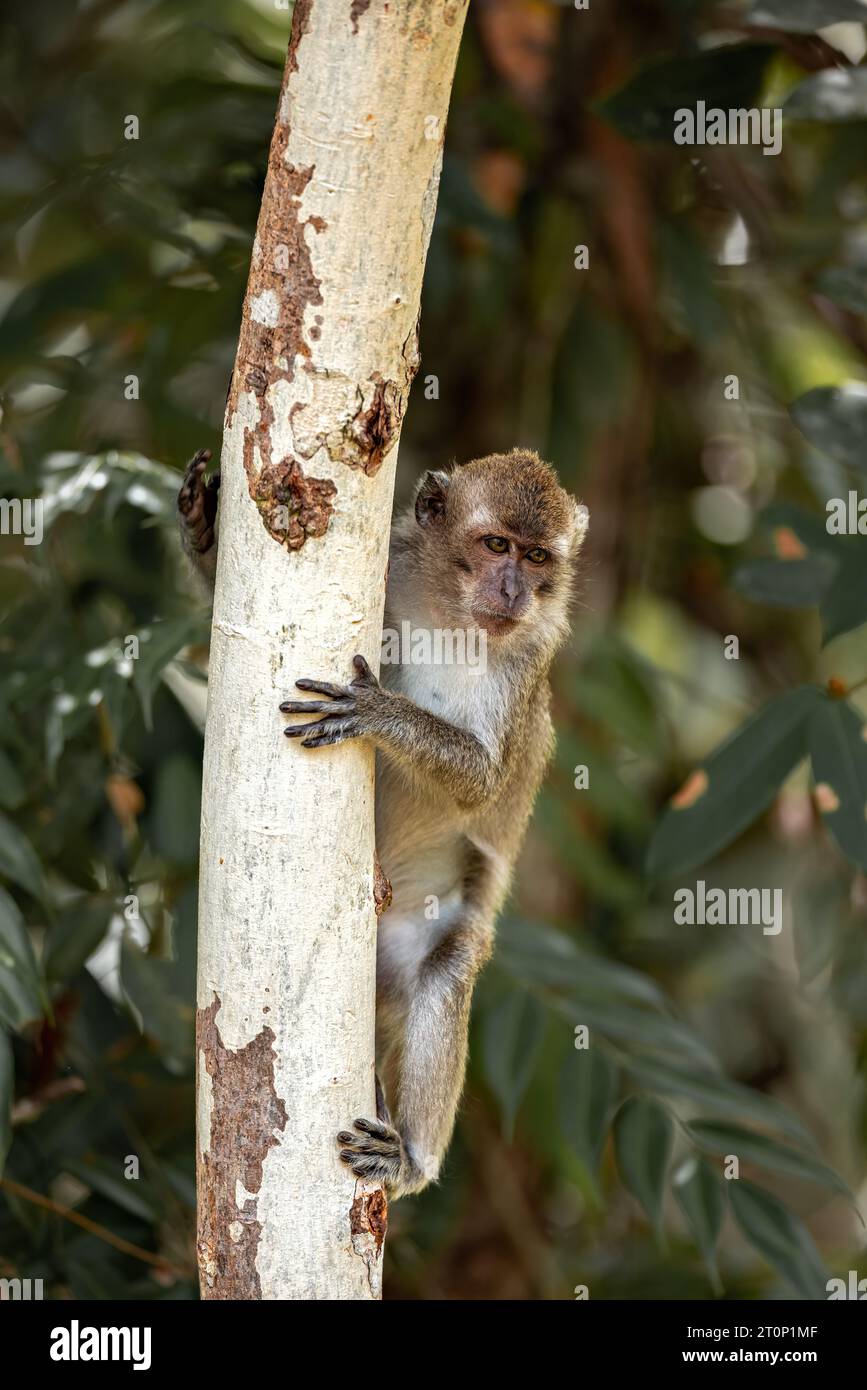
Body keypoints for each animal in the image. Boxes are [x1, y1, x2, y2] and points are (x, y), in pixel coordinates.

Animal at [180, 442, 591, 1195]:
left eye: (538, 557)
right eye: (496, 546)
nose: (513, 592)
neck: (452, 613)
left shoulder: (528, 654)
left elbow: (482, 782)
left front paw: (381, 713)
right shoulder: (395, 570)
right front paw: (201, 525)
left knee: (448, 970)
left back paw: (410, 1161)